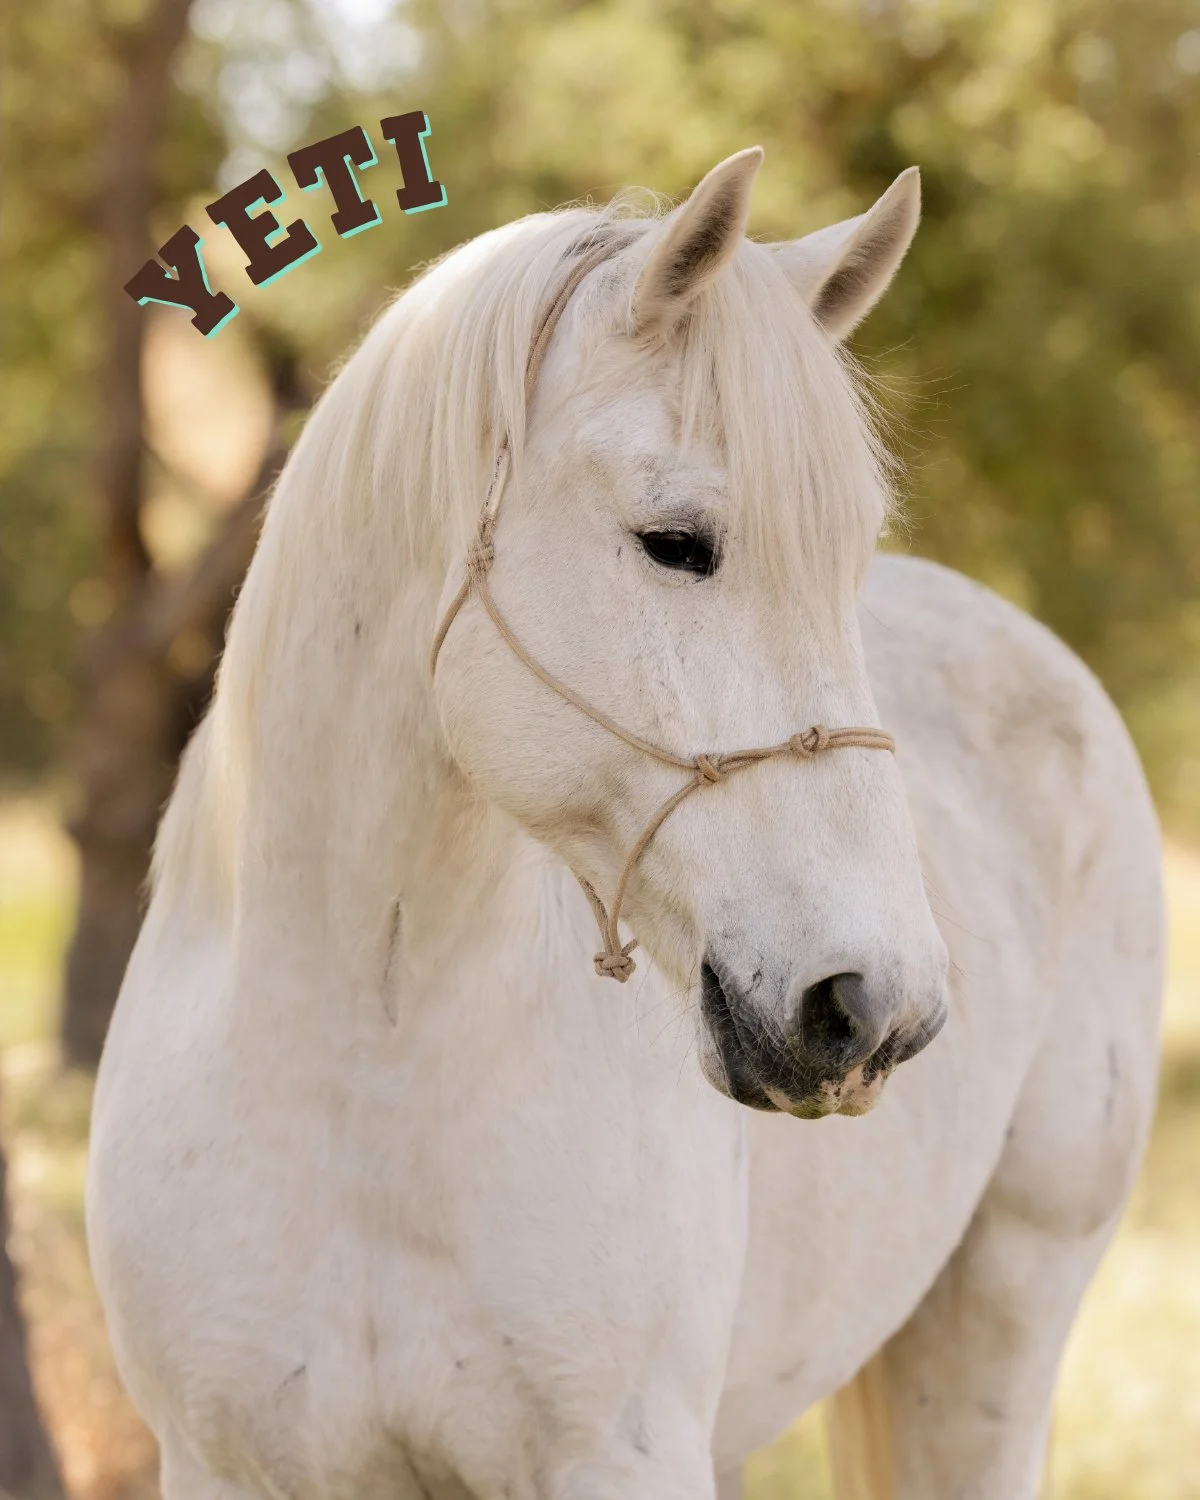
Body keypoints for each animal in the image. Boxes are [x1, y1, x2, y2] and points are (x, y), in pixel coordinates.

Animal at [86, 147, 1165, 1500]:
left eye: (851, 561)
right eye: (675, 543)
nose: (875, 1009)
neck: (360, 1071)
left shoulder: (622, 1456)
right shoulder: (218, 1462)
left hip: (1002, 1325)